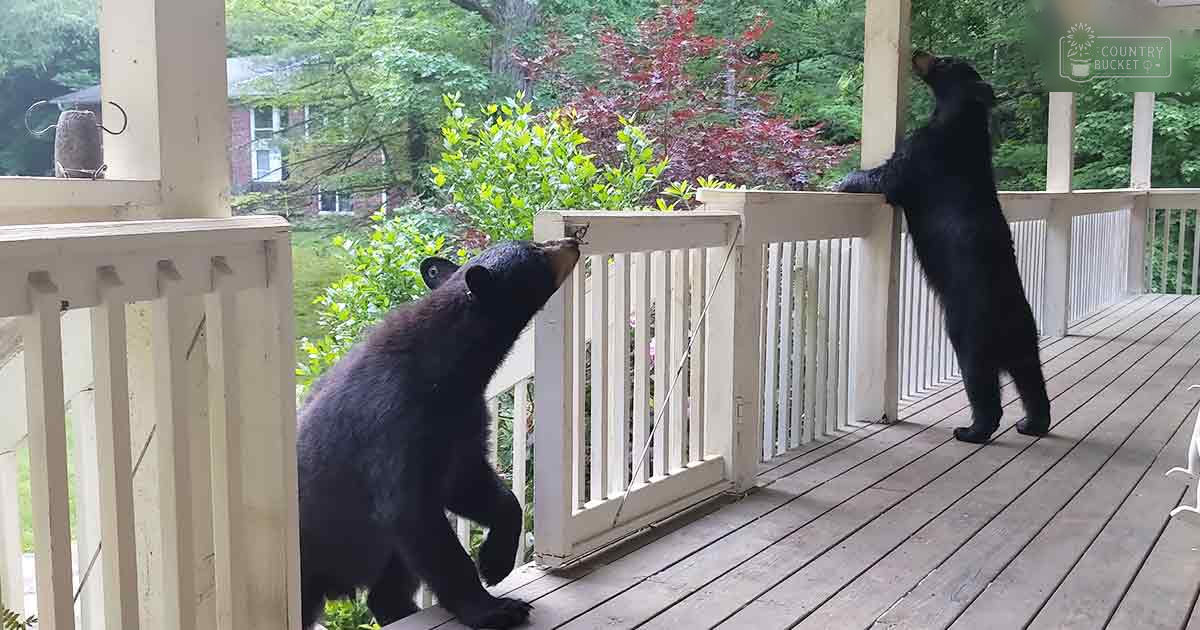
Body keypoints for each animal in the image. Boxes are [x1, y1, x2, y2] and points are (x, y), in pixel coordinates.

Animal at [296, 237, 581, 628]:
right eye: (535, 251)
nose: (571, 241)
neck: (450, 375)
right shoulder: (395, 425)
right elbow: (416, 516)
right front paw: (493, 608)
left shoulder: (460, 425)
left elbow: (473, 486)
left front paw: (495, 562)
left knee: (387, 587)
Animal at [835, 51, 1051, 444]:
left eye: (947, 60)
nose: (918, 52)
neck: (960, 121)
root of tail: (1010, 318)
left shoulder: (921, 155)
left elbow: (887, 177)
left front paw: (845, 180)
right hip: (1025, 340)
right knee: (1031, 378)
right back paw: (1033, 423)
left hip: (969, 330)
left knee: (981, 381)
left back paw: (973, 430)